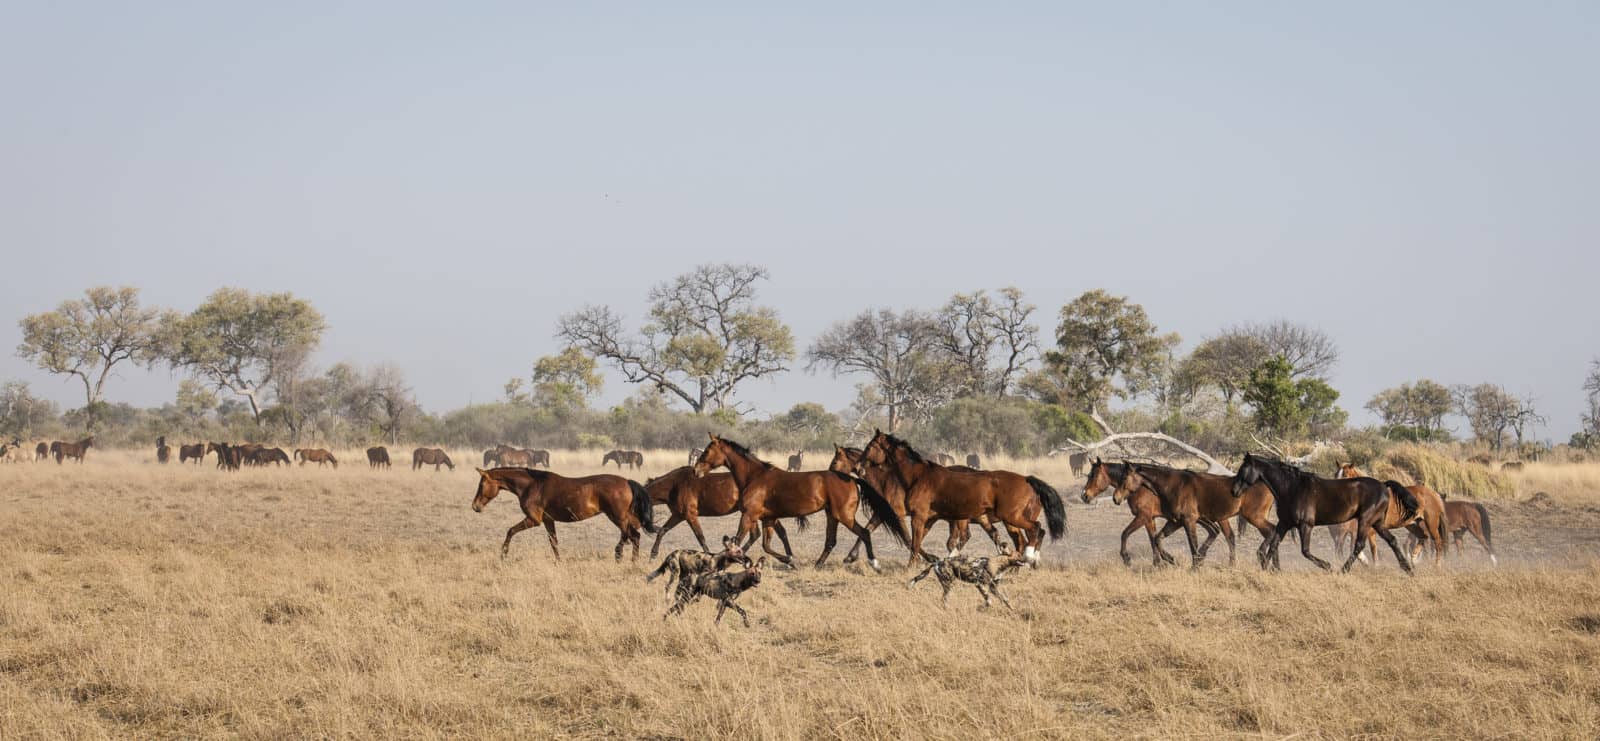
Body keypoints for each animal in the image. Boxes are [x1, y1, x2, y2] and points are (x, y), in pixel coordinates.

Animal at [470, 467, 656, 562]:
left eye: (481, 485)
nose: (475, 507)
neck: (532, 485)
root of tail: (627, 482)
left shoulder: (533, 520)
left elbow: (510, 531)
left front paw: (503, 555)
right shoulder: (548, 520)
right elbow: (554, 542)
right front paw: (559, 562)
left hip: (617, 517)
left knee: (634, 536)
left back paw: (628, 560)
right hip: (624, 517)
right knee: (633, 535)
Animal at [693, 435, 907, 571]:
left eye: (707, 451)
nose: (696, 470)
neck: (755, 477)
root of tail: (853, 479)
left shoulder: (749, 516)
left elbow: (738, 541)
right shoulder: (768, 519)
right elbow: (766, 545)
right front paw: (790, 560)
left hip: (843, 516)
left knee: (863, 533)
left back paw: (874, 563)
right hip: (832, 515)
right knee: (831, 541)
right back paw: (818, 565)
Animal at [857, 430, 1066, 568]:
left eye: (870, 446)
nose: (859, 468)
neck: (918, 477)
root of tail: (1026, 479)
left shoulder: (919, 517)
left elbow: (915, 542)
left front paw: (911, 567)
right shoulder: (930, 518)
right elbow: (919, 541)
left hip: (1011, 517)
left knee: (1035, 530)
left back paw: (1029, 558)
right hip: (1011, 520)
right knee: (1032, 534)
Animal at [1114, 462, 1278, 569]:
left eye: (1124, 478)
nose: (1116, 498)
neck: (1173, 485)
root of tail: (1268, 486)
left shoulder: (1188, 521)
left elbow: (1193, 545)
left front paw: (1194, 567)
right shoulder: (1176, 521)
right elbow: (1157, 539)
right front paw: (1172, 560)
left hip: (1254, 517)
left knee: (1272, 530)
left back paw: (1262, 558)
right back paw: (1273, 567)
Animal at [1231, 453, 1419, 573]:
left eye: (1243, 470)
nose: (1234, 492)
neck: (1292, 488)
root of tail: (1383, 486)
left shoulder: (1305, 525)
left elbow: (1305, 551)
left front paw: (1327, 566)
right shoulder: (1284, 523)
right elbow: (1274, 544)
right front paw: (1268, 569)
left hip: (1365, 521)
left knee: (1359, 545)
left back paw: (1342, 570)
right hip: (1377, 523)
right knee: (1392, 540)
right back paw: (1407, 569)